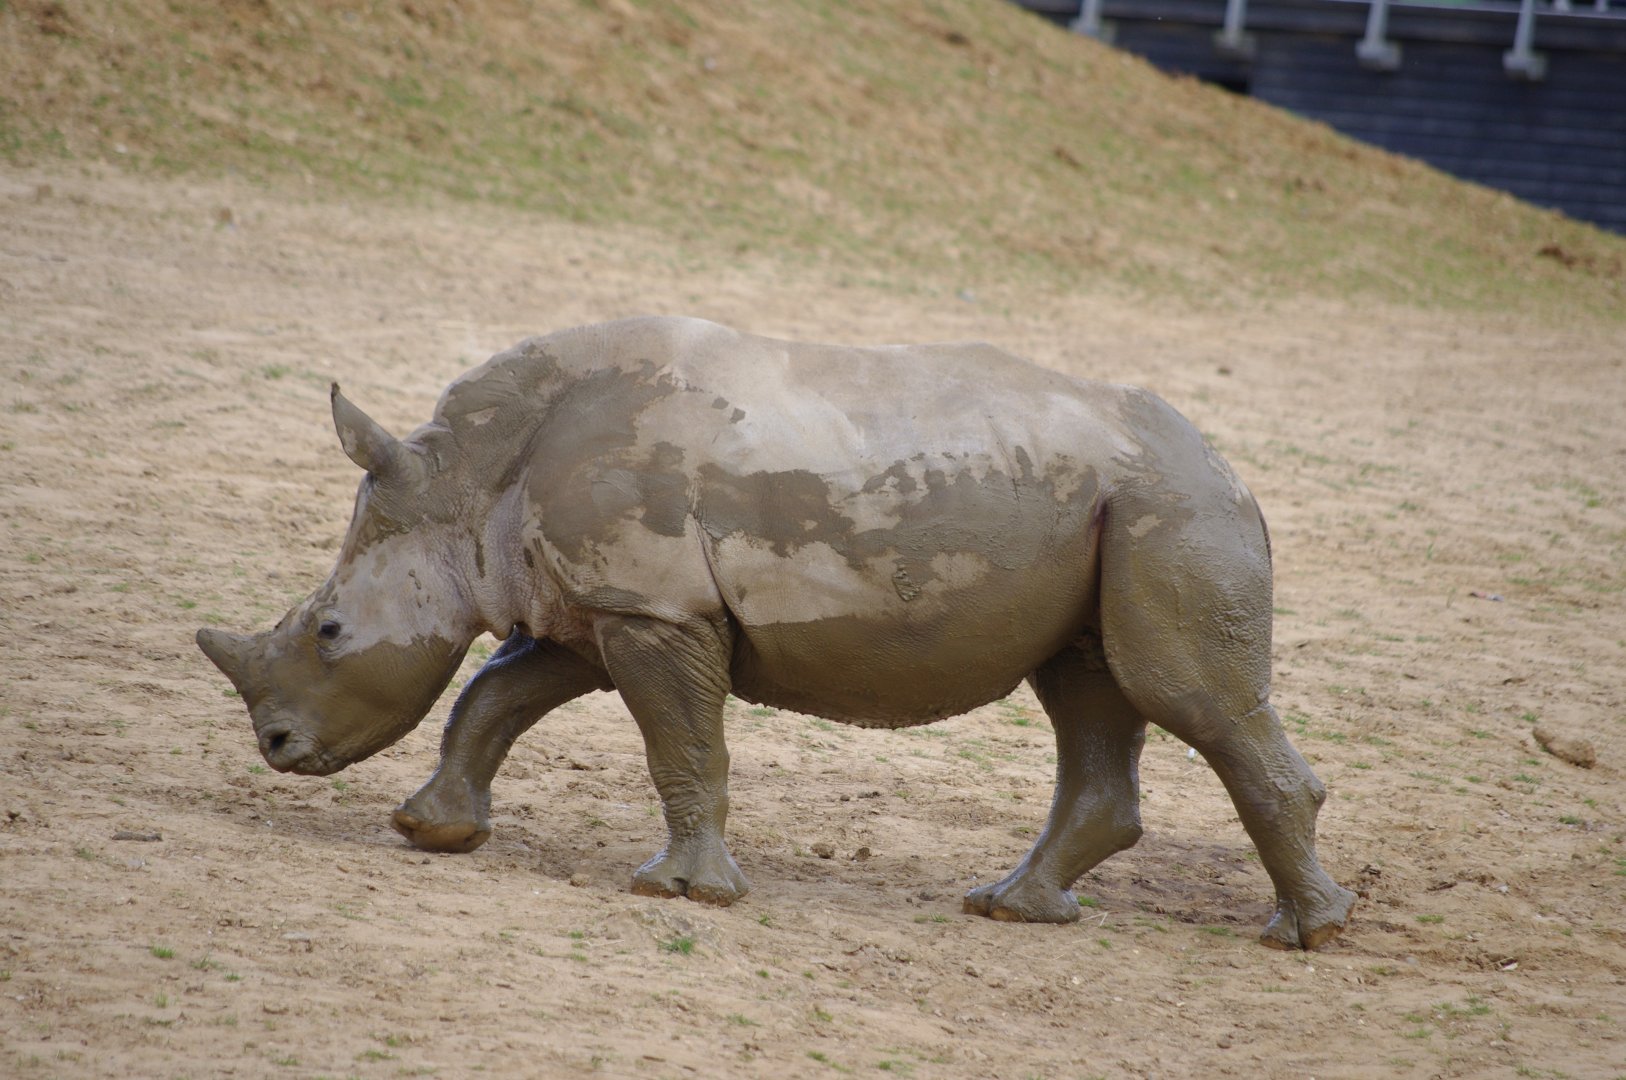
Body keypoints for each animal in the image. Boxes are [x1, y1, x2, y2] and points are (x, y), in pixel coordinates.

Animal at [197, 315, 1356, 949]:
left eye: (330, 630)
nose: (276, 748)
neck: (466, 485)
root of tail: (1228, 463)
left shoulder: (655, 611)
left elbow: (680, 743)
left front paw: (679, 892)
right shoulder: (604, 604)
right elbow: (495, 695)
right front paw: (431, 831)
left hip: (1174, 506)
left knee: (1182, 697)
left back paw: (1309, 936)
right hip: (1106, 504)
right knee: (1087, 692)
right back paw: (1010, 908)